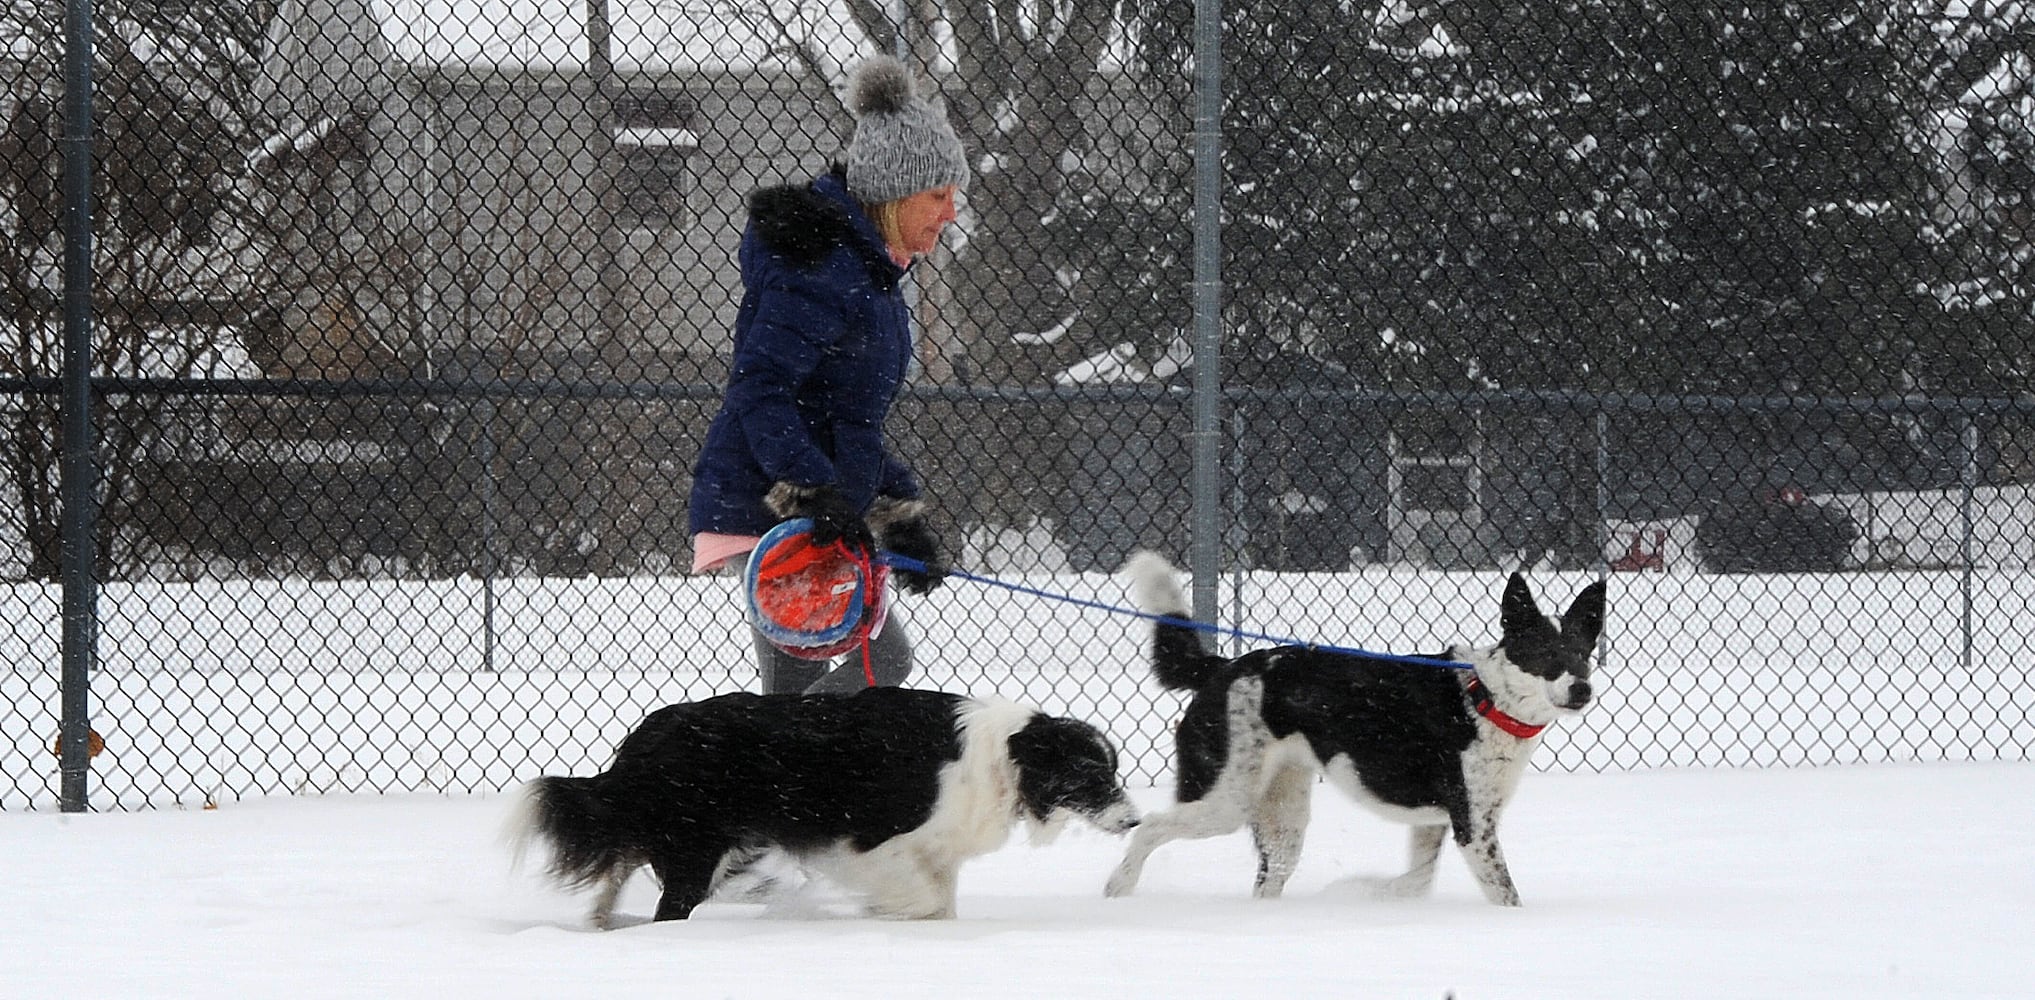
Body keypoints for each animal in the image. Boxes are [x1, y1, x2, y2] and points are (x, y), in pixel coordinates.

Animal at [504, 688, 1147, 924]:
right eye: (1094, 773)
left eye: (1114, 770)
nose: (1135, 820)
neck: (1004, 755)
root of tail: (645, 737)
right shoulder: (872, 842)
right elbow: (918, 896)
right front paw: (879, 912)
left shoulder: (937, 850)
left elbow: (941, 904)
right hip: (696, 848)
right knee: (670, 906)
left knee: (619, 869)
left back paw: (601, 923)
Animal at [1098, 553, 1603, 908]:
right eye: (1546, 654)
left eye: (1582, 653)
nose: (1582, 689)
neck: (1487, 698)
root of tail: (1221, 668)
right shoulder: (1472, 825)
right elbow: (1506, 895)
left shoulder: (1434, 822)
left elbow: (1418, 880)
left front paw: (1372, 893)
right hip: (1226, 799)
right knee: (1150, 827)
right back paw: (1117, 889)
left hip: (1282, 814)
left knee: (1268, 875)